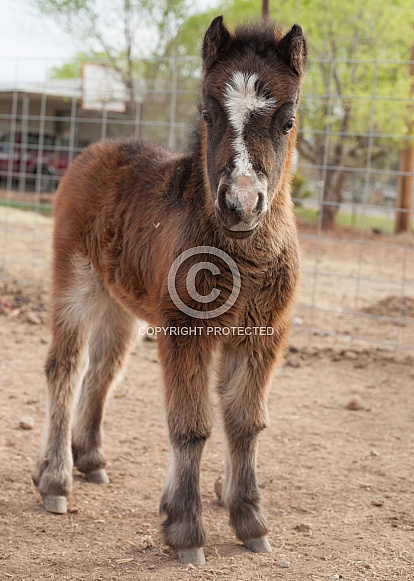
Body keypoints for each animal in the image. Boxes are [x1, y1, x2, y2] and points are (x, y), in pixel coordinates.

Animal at [34, 18, 308, 568]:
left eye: (288, 121)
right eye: (207, 112)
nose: (240, 204)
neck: (242, 256)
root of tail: (97, 150)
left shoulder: (263, 335)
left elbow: (246, 421)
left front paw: (249, 519)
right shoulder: (187, 330)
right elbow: (191, 424)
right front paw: (185, 529)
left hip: (123, 303)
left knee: (104, 367)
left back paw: (89, 458)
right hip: (76, 281)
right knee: (66, 367)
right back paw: (55, 480)